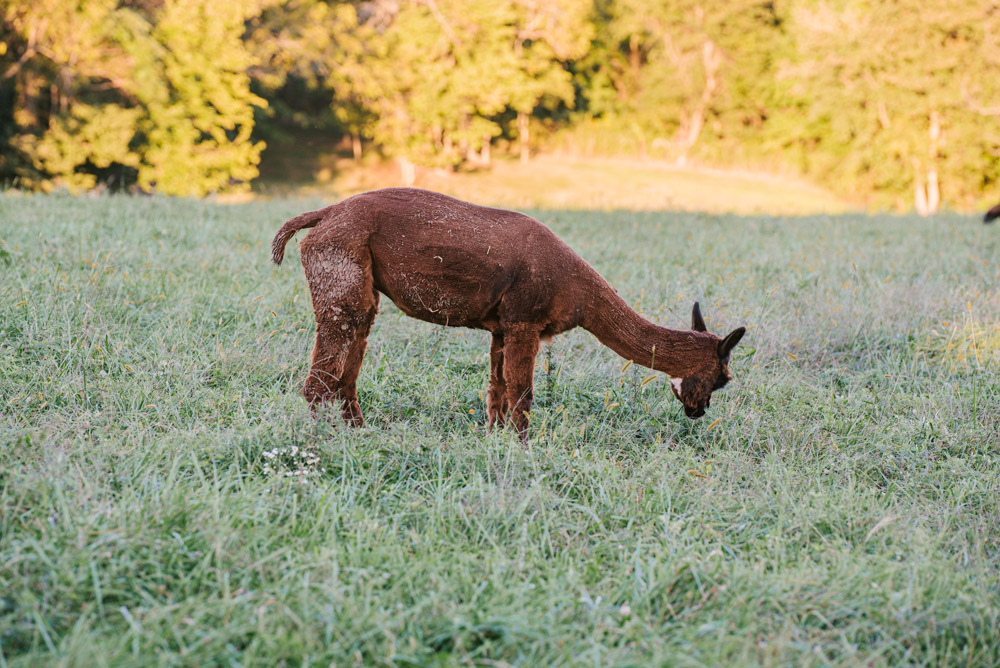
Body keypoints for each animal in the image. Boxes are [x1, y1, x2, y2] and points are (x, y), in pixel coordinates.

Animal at [271, 188, 746, 441]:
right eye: (722, 379)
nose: (698, 413)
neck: (580, 293)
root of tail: (326, 213)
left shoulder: (501, 327)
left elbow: (496, 389)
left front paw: (494, 439)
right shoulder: (524, 322)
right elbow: (522, 390)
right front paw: (523, 447)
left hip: (360, 284)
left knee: (348, 366)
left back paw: (358, 431)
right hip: (341, 266)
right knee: (322, 373)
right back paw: (322, 439)